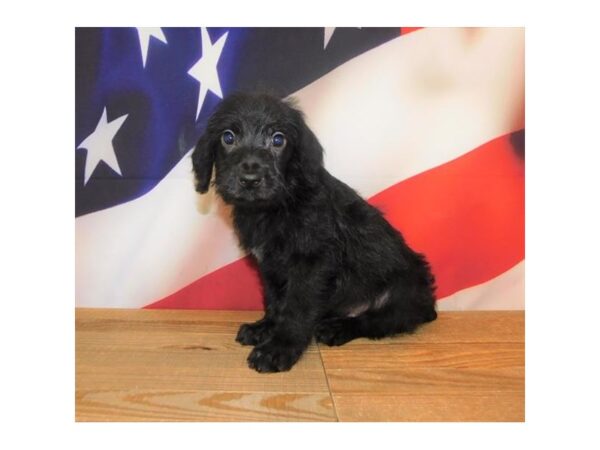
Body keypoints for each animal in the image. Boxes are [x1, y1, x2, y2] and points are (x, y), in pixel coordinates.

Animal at [195, 92, 438, 372]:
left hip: (404, 291)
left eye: (278, 139)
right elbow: (275, 300)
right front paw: (265, 328)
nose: (250, 179)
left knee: (378, 320)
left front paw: (280, 347)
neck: (276, 207)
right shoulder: (270, 266)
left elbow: (296, 307)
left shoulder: (312, 264)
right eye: (228, 137)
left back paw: (337, 328)